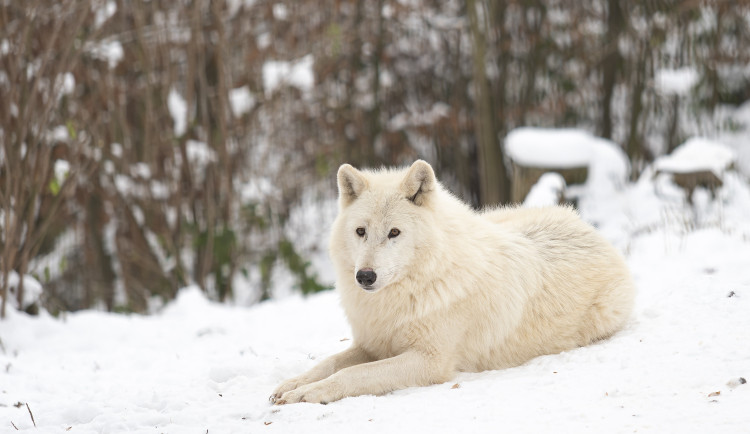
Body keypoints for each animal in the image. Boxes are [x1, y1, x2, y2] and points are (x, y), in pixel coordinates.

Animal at [270, 161, 636, 406]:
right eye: (361, 231)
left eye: (394, 233)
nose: (365, 276)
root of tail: (586, 226)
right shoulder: (372, 345)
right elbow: (329, 363)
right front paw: (293, 385)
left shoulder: (430, 361)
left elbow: (351, 375)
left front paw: (308, 393)